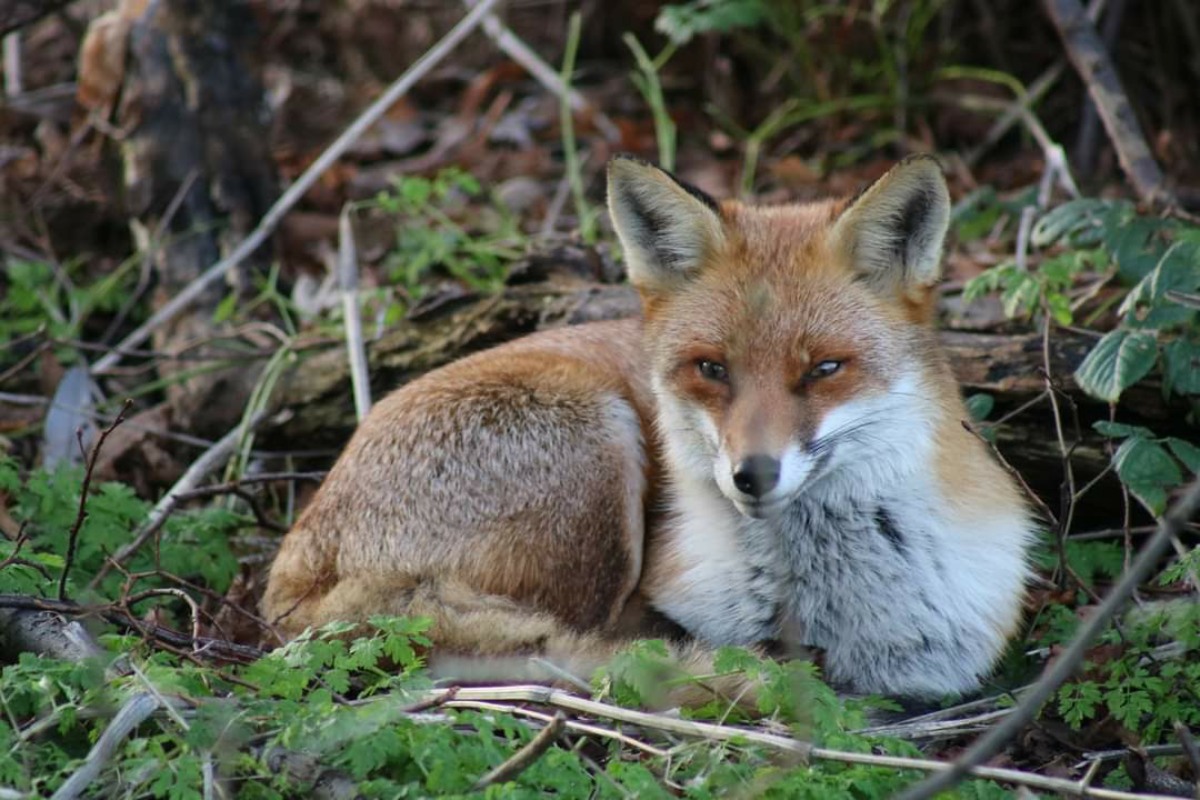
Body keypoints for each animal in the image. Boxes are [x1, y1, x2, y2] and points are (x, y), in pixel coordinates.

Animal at [262, 154, 1032, 700]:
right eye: (712, 368)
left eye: (825, 368)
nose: (752, 474)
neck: (821, 606)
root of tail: (291, 563)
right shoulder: (651, 603)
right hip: (597, 445)